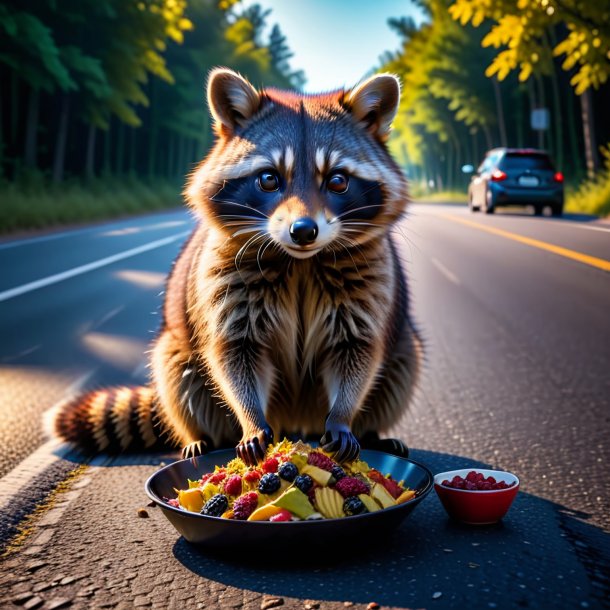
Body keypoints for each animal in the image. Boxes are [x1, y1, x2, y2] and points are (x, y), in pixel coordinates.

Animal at [50, 69, 420, 464]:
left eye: (337, 180)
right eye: (269, 178)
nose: (304, 231)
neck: (300, 263)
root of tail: (297, 420)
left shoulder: (368, 278)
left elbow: (356, 351)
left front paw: (342, 417)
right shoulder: (225, 276)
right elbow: (234, 353)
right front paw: (251, 417)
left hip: (402, 345)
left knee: (401, 364)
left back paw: (373, 433)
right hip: (176, 347)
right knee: (177, 373)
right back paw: (200, 436)